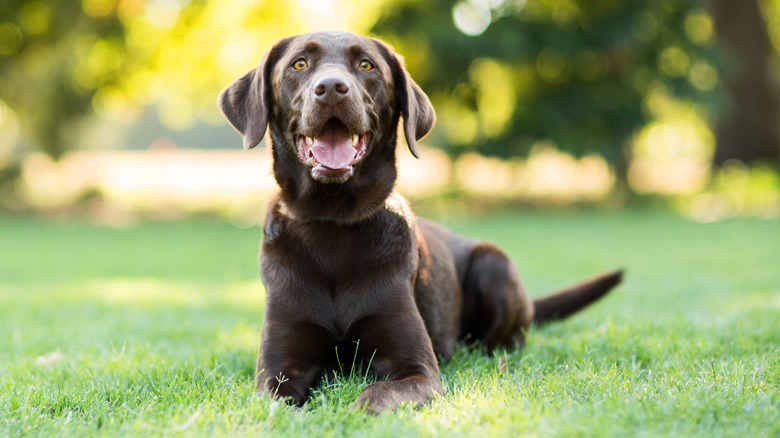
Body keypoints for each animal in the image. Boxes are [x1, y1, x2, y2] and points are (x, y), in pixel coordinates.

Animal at [218, 31, 620, 414]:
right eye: (299, 64)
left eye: (366, 65)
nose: (331, 87)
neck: (332, 223)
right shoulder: (278, 371)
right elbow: (277, 406)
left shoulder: (418, 369)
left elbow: (377, 392)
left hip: (494, 263)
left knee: (507, 344)